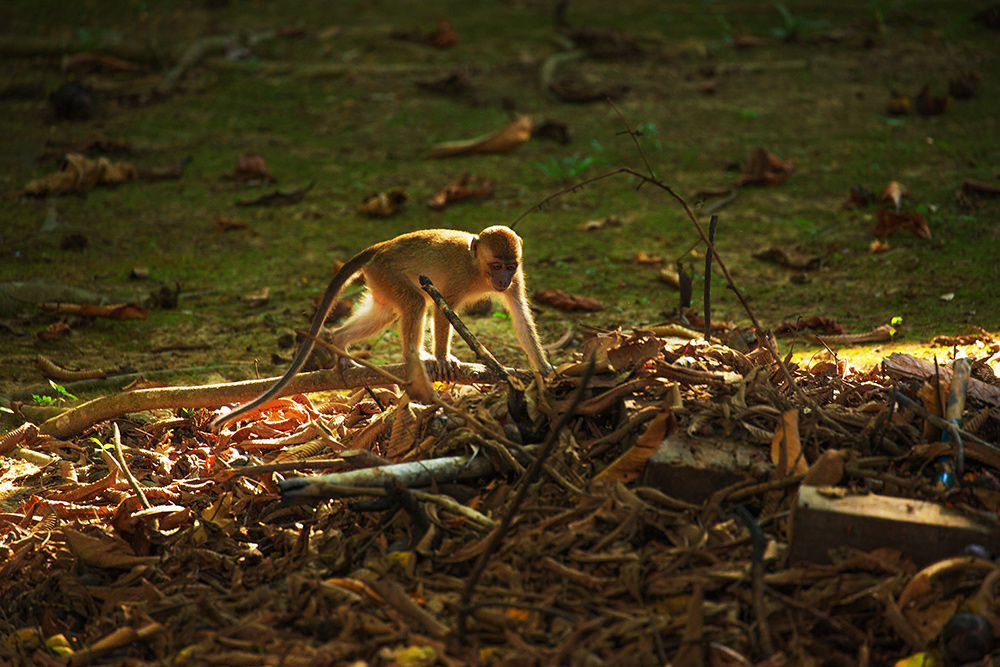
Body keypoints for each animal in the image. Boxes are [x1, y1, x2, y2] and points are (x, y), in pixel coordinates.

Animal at [212, 227, 556, 430]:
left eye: (509, 266)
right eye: (496, 266)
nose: (502, 280)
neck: (478, 269)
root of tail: (381, 246)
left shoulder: (517, 279)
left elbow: (521, 317)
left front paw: (545, 369)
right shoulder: (459, 278)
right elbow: (442, 311)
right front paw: (443, 359)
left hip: (379, 279)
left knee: (387, 313)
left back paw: (340, 344)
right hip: (386, 272)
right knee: (416, 303)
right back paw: (413, 357)